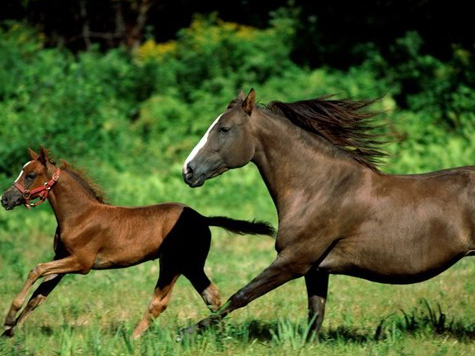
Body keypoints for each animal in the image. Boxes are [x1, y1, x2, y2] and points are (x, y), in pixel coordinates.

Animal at [0, 147, 276, 340]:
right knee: (213, 296)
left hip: (172, 263)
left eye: (30, 175)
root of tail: (201, 218)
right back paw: (220, 334)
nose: (5, 199)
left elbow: (35, 269)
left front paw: (9, 317)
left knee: (160, 302)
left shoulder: (81, 262)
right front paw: (10, 331)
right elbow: (38, 295)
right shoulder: (62, 259)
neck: (79, 215)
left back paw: (133, 338)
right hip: (192, 265)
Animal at [181, 88, 475, 336]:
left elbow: (241, 295)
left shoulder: (294, 260)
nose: (188, 171)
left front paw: (186, 332)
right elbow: (315, 314)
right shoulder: (316, 270)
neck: (320, 189)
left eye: (224, 129)